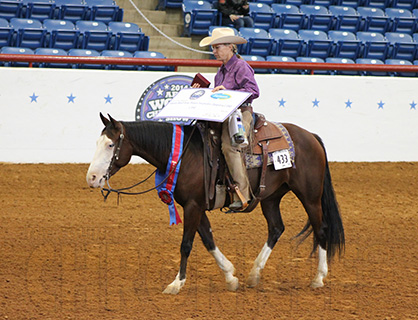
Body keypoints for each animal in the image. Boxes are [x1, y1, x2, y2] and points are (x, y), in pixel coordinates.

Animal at [86, 113, 344, 296]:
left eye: (111, 145)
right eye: (97, 142)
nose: (92, 178)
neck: (184, 155)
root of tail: (310, 136)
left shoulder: (193, 205)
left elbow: (186, 244)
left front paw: (176, 284)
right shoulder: (195, 205)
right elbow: (208, 239)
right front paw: (230, 277)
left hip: (310, 195)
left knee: (321, 229)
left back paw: (318, 278)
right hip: (271, 197)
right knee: (276, 228)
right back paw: (254, 274)